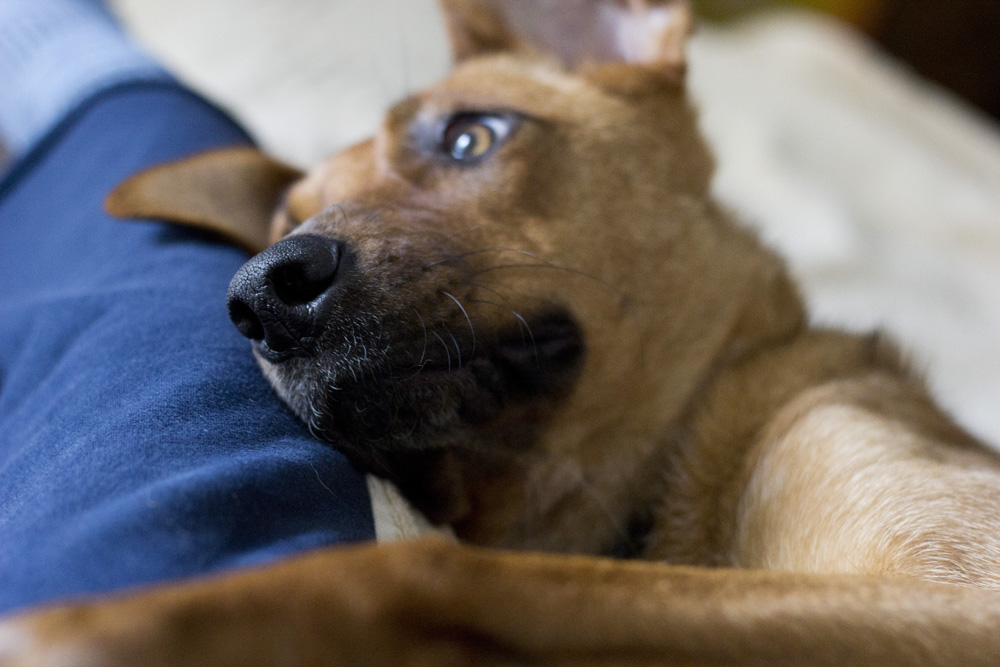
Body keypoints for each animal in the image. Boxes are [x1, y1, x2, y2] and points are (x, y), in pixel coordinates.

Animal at [5, 0, 1000, 664]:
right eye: (283, 220)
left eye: (471, 138)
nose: (259, 291)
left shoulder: (956, 599)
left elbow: (432, 573)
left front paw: (111, 622)